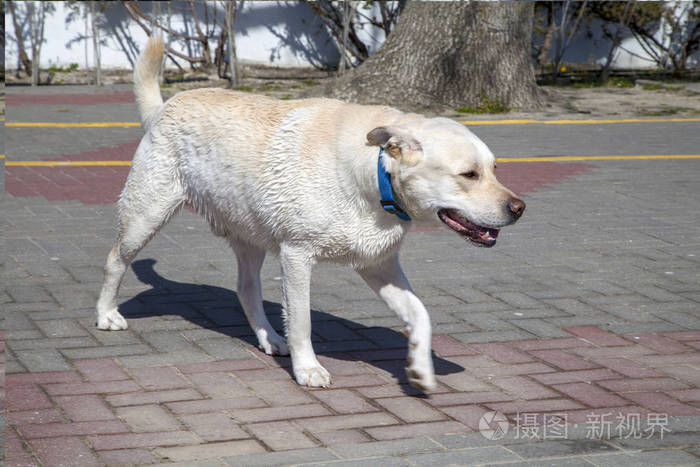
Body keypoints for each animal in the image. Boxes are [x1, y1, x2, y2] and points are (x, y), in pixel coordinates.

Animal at [97, 37, 524, 392]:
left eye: (494, 169)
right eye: (468, 174)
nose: (519, 208)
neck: (372, 175)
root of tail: (166, 106)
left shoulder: (379, 264)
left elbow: (420, 314)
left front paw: (420, 368)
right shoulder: (297, 256)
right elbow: (301, 320)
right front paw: (308, 369)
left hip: (250, 236)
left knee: (246, 289)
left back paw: (270, 338)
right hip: (145, 217)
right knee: (114, 260)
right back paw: (106, 315)